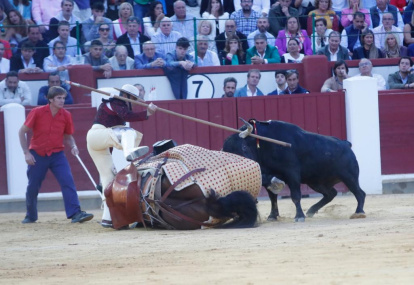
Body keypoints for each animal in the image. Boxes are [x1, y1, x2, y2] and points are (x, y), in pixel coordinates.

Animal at [223, 118, 366, 221]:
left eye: (243, 147)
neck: (264, 145)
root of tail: (346, 144)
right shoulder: (267, 174)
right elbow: (272, 197)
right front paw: (272, 216)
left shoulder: (292, 174)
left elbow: (295, 196)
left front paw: (299, 216)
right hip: (315, 182)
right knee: (331, 193)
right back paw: (311, 211)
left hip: (349, 177)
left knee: (359, 193)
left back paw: (359, 212)